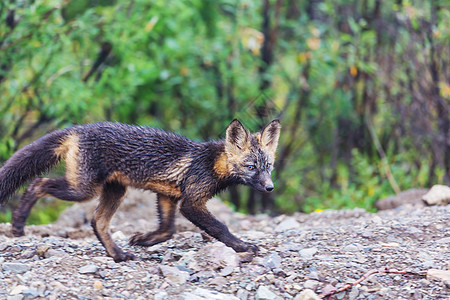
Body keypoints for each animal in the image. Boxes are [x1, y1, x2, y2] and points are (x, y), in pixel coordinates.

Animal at [0, 118, 280, 262]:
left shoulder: (168, 195)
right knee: (37, 184)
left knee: (97, 222)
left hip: (115, 191)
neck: (211, 163)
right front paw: (242, 246)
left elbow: (167, 230)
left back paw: (118, 254)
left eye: (268, 166)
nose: (269, 187)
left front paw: (144, 240)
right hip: (83, 190)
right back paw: (18, 223)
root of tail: (80, 128)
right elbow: (220, 227)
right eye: (251, 167)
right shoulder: (191, 202)